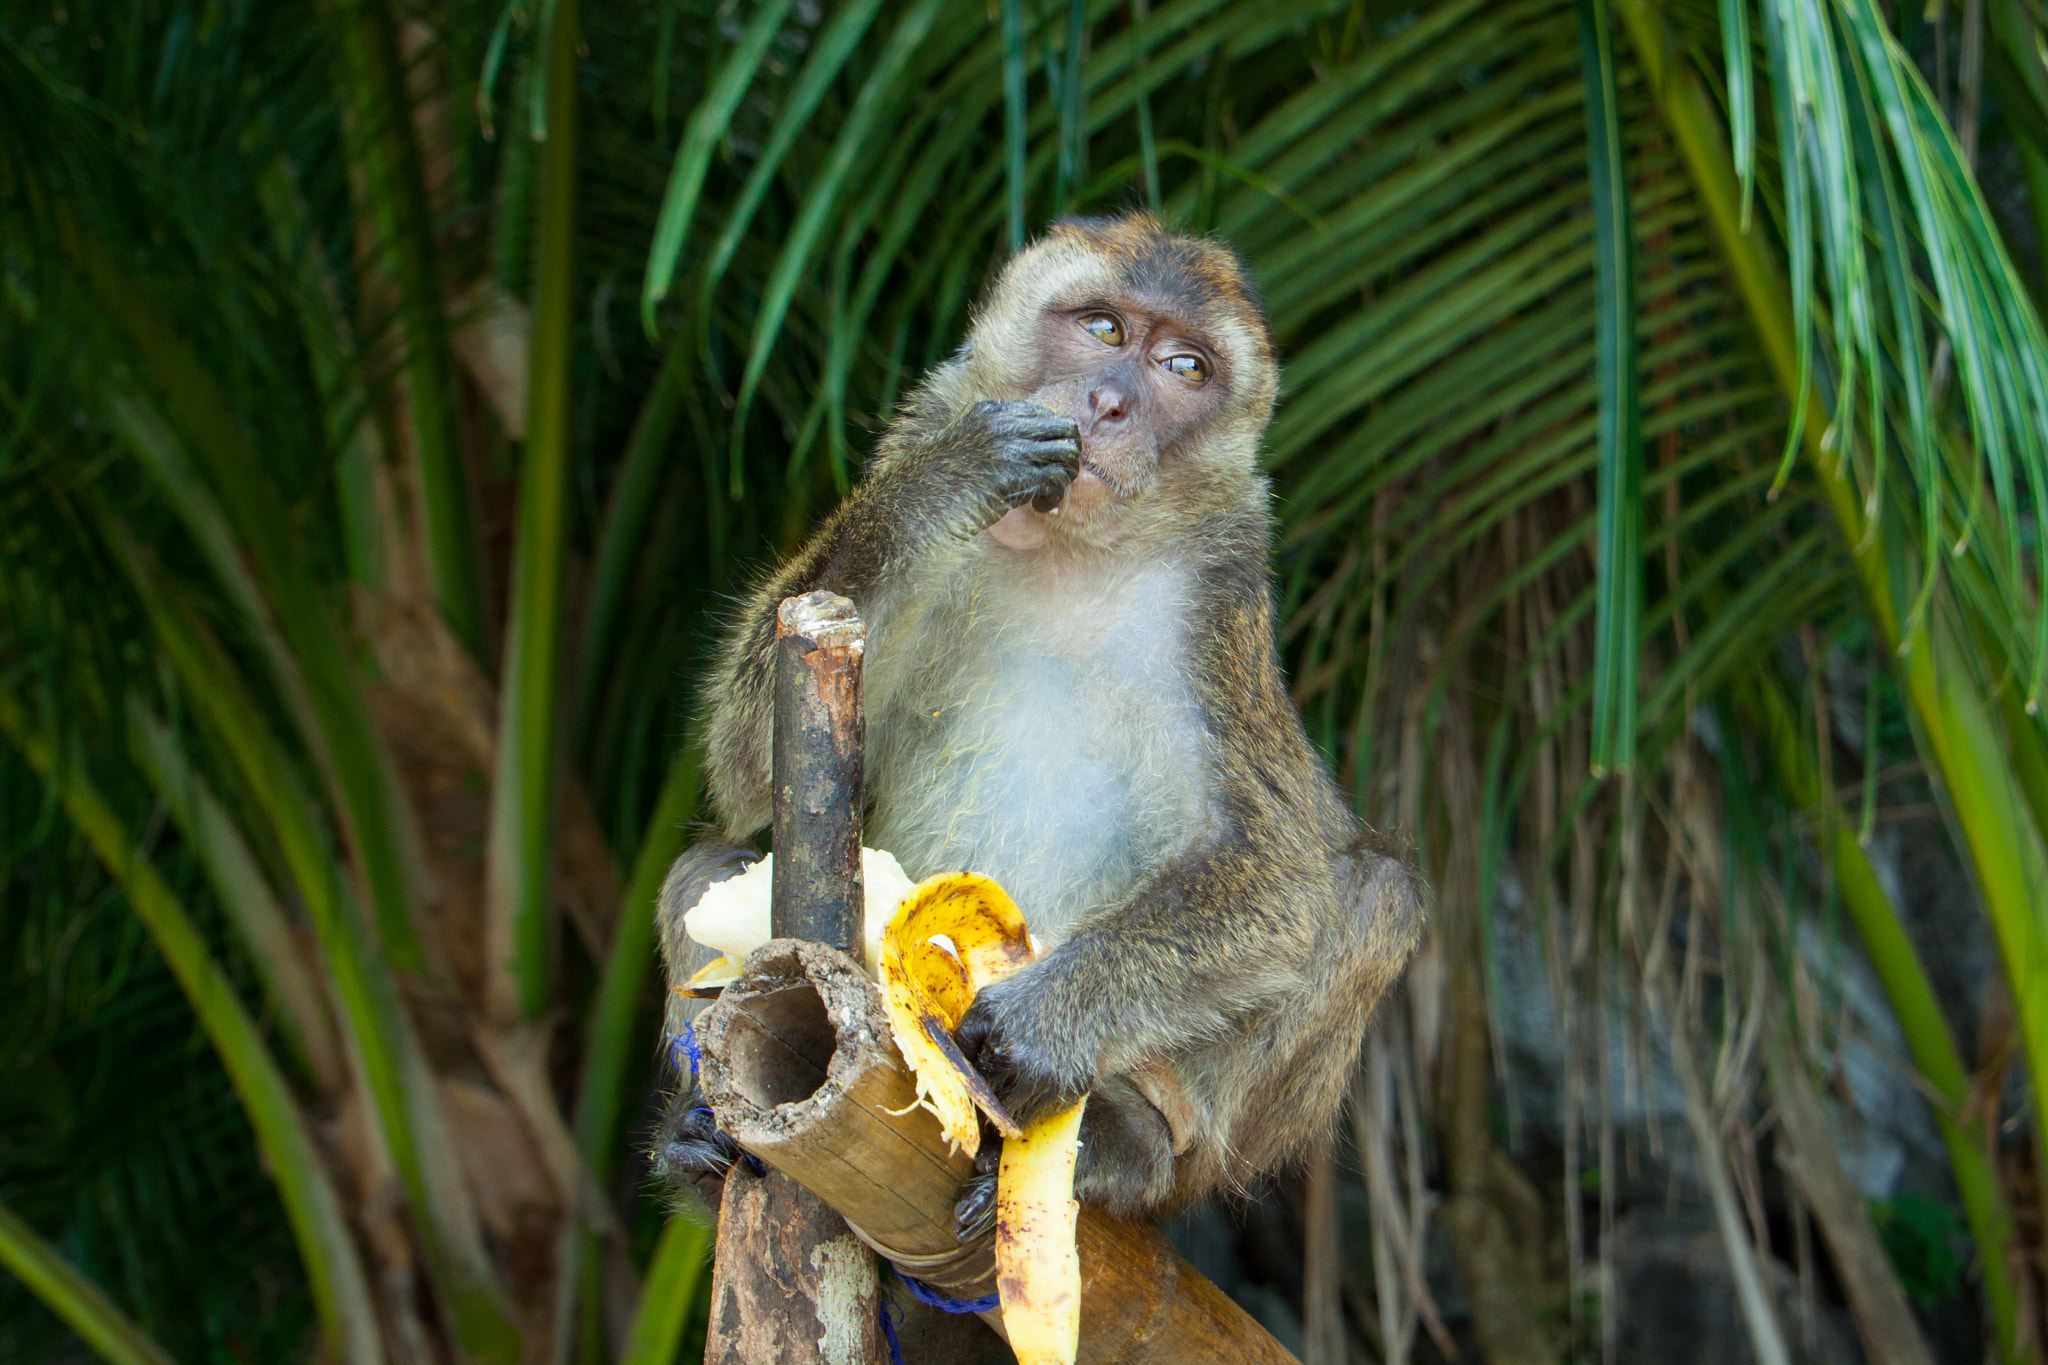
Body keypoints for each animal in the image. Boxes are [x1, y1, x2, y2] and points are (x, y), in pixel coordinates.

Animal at [651, 212, 1421, 1230]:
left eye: (1185, 367)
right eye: (1104, 329)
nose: (1111, 403)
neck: (1070, 545)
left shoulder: (1224, 590)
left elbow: (1276, 877)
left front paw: (1038, 1026)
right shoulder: (927, 421)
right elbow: (750, 769)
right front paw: (946, 481)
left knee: (1377, 887)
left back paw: (1131, 1142)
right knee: (709, 866)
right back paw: (700, 1149)